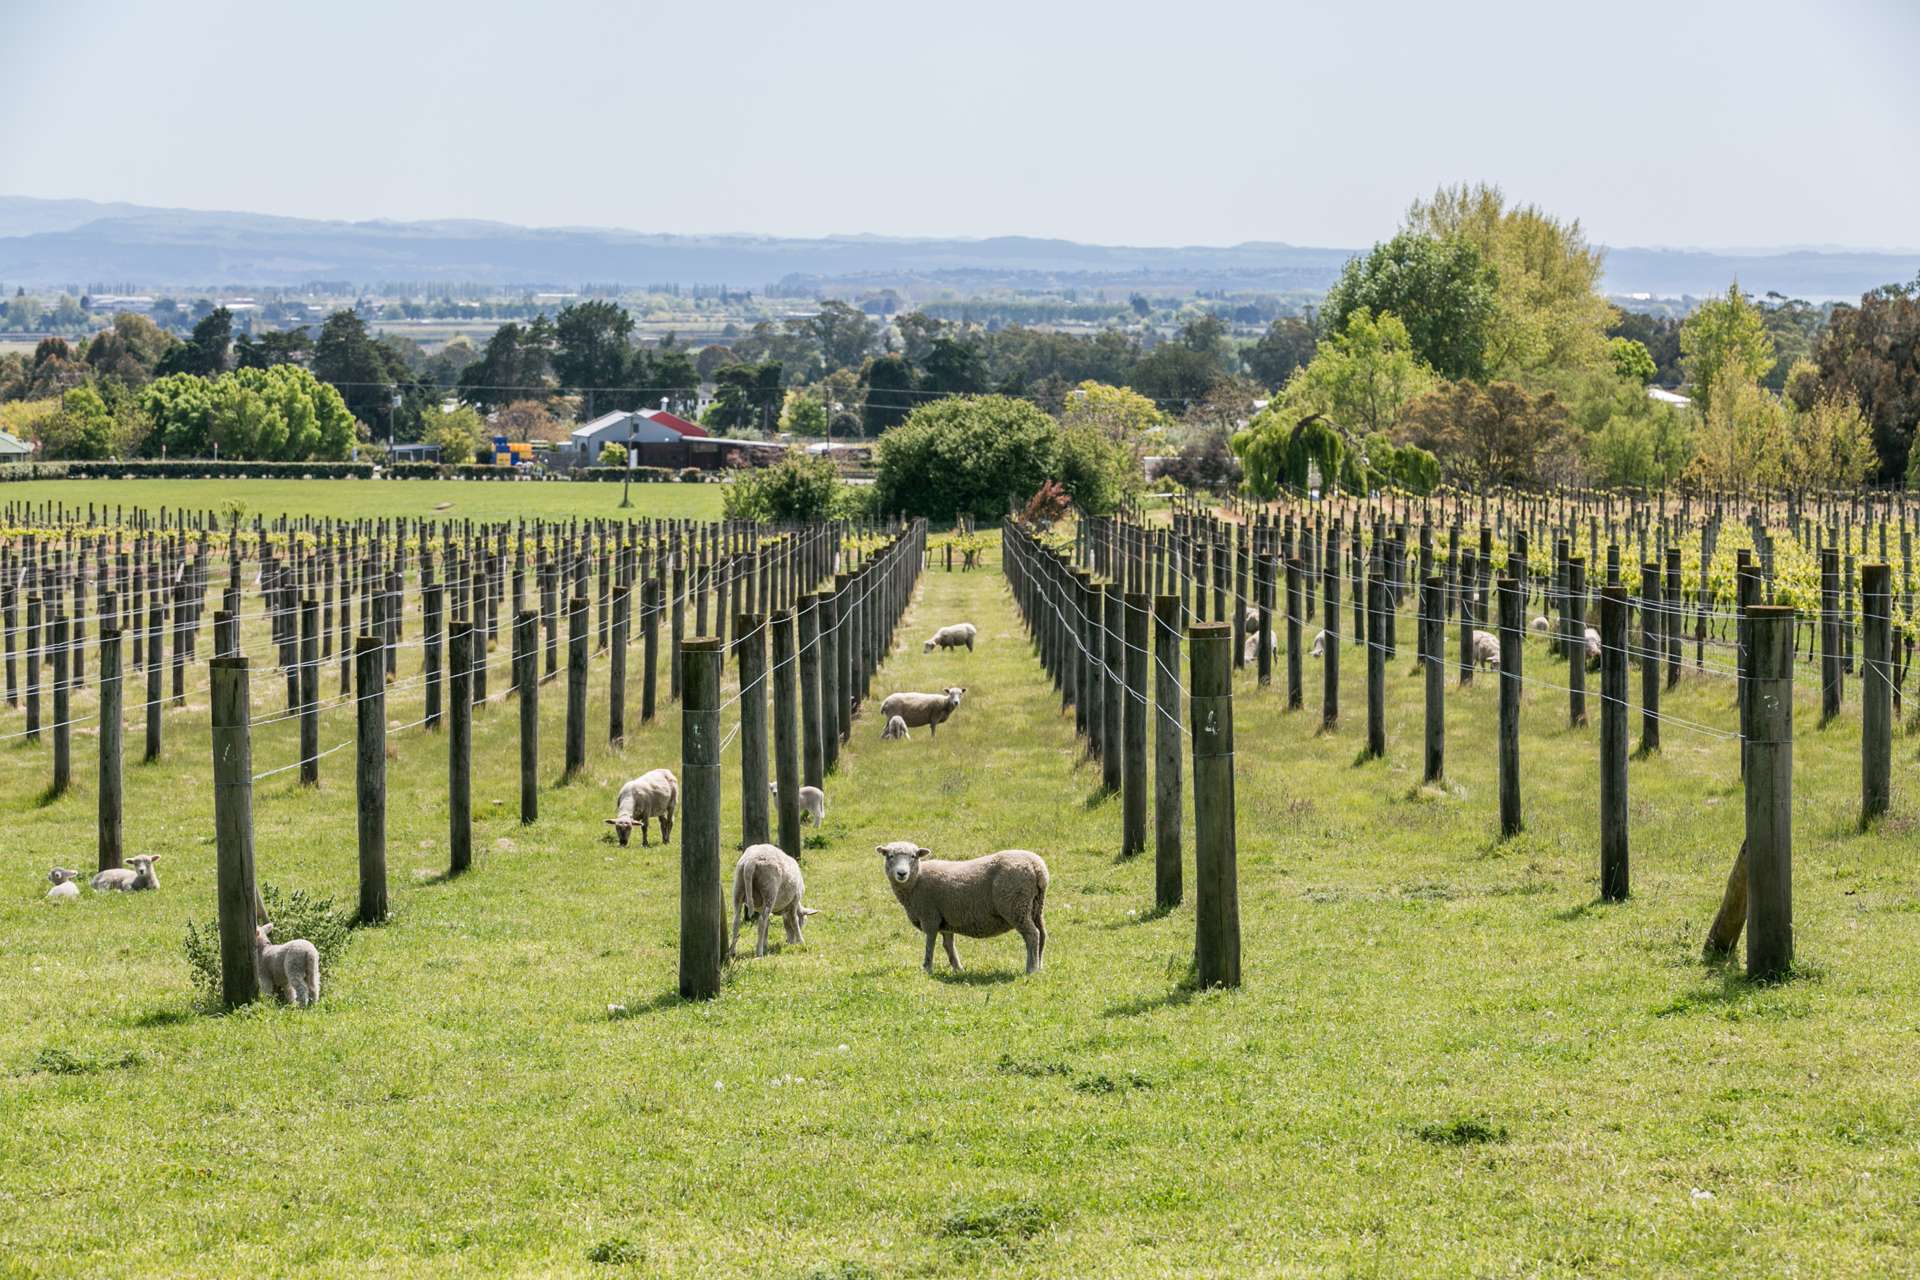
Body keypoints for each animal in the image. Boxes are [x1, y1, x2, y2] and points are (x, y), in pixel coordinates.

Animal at [875, 844, 1052, 974]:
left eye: (913, 856)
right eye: (890, 856)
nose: (901, 873)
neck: (916, 881)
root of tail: (1037, 867)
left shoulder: (930, 916)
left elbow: (930, 943)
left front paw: (927, 968)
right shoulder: (945, 920)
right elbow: (948, 945)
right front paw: (958, 969)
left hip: (1015, 905)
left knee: (1032, 935)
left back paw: (1031, 969)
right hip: (1035, 906)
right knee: (1042, 934)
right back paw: (1040, 966)